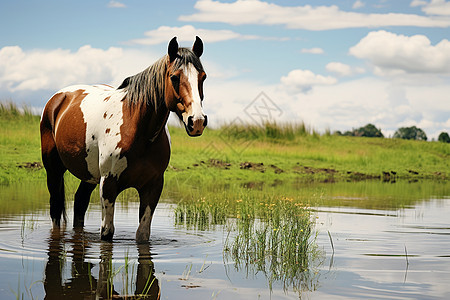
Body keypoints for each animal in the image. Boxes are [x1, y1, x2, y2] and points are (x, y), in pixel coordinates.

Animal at [40, 36, 207, 243]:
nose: (197, 121)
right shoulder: (108, 184)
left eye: (203, 77)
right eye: (174, 77)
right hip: (53, 170)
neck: (140, 133)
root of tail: (60, 97)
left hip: (89, 176)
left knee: (79, 205)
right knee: (56, 211)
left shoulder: (152, 187)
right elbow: (107, 233)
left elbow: (142, 234)